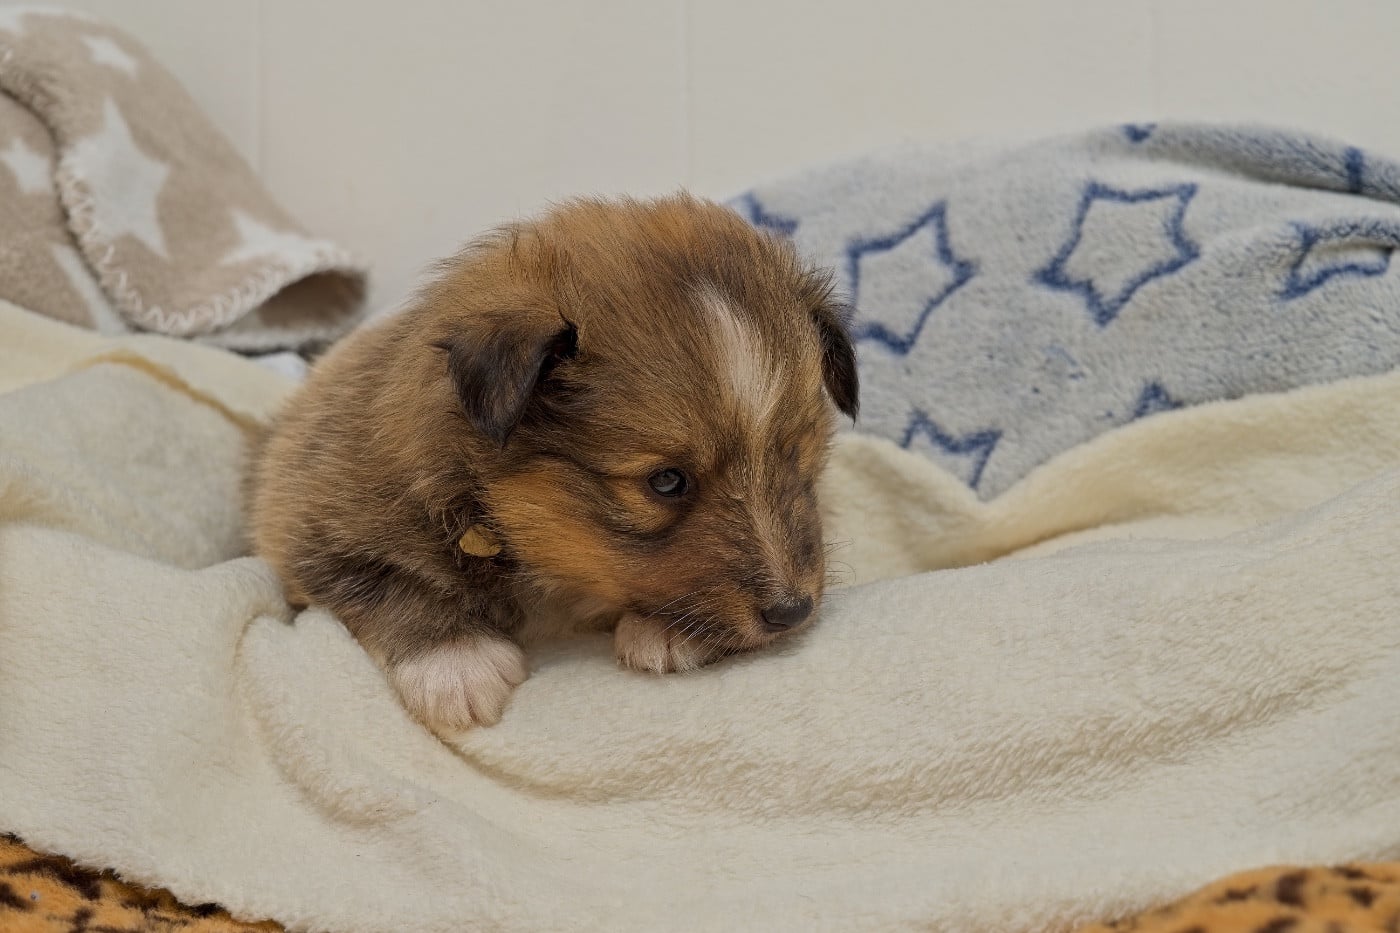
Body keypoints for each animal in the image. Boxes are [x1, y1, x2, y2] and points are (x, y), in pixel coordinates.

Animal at [249, 194, 858, 734]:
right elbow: (388, 584)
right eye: (666, 481)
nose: (793, 612)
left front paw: (668, 629)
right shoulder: (311, 529)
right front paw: (457, 665)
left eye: (795, 455)